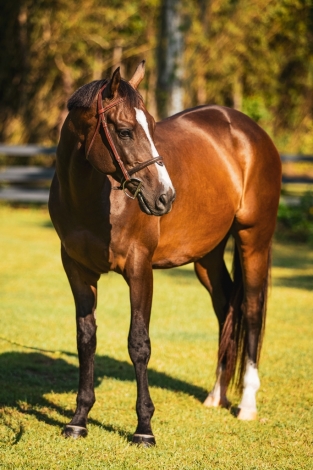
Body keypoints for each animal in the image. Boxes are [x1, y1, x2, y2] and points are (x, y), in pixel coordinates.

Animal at [48, 60, 280, 446]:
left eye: (154, 127)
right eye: (125, 131)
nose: (165, 197)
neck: (91, 198)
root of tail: (250, 131)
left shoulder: (140, 269)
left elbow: (139, 343)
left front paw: (144, 428)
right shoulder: (77, 270)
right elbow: (86, 340)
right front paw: (78, 420)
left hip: (254, 240)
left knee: (250, 310)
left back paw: (247, 404)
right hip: (207, 257)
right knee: (225, 307)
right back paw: (216, 395)